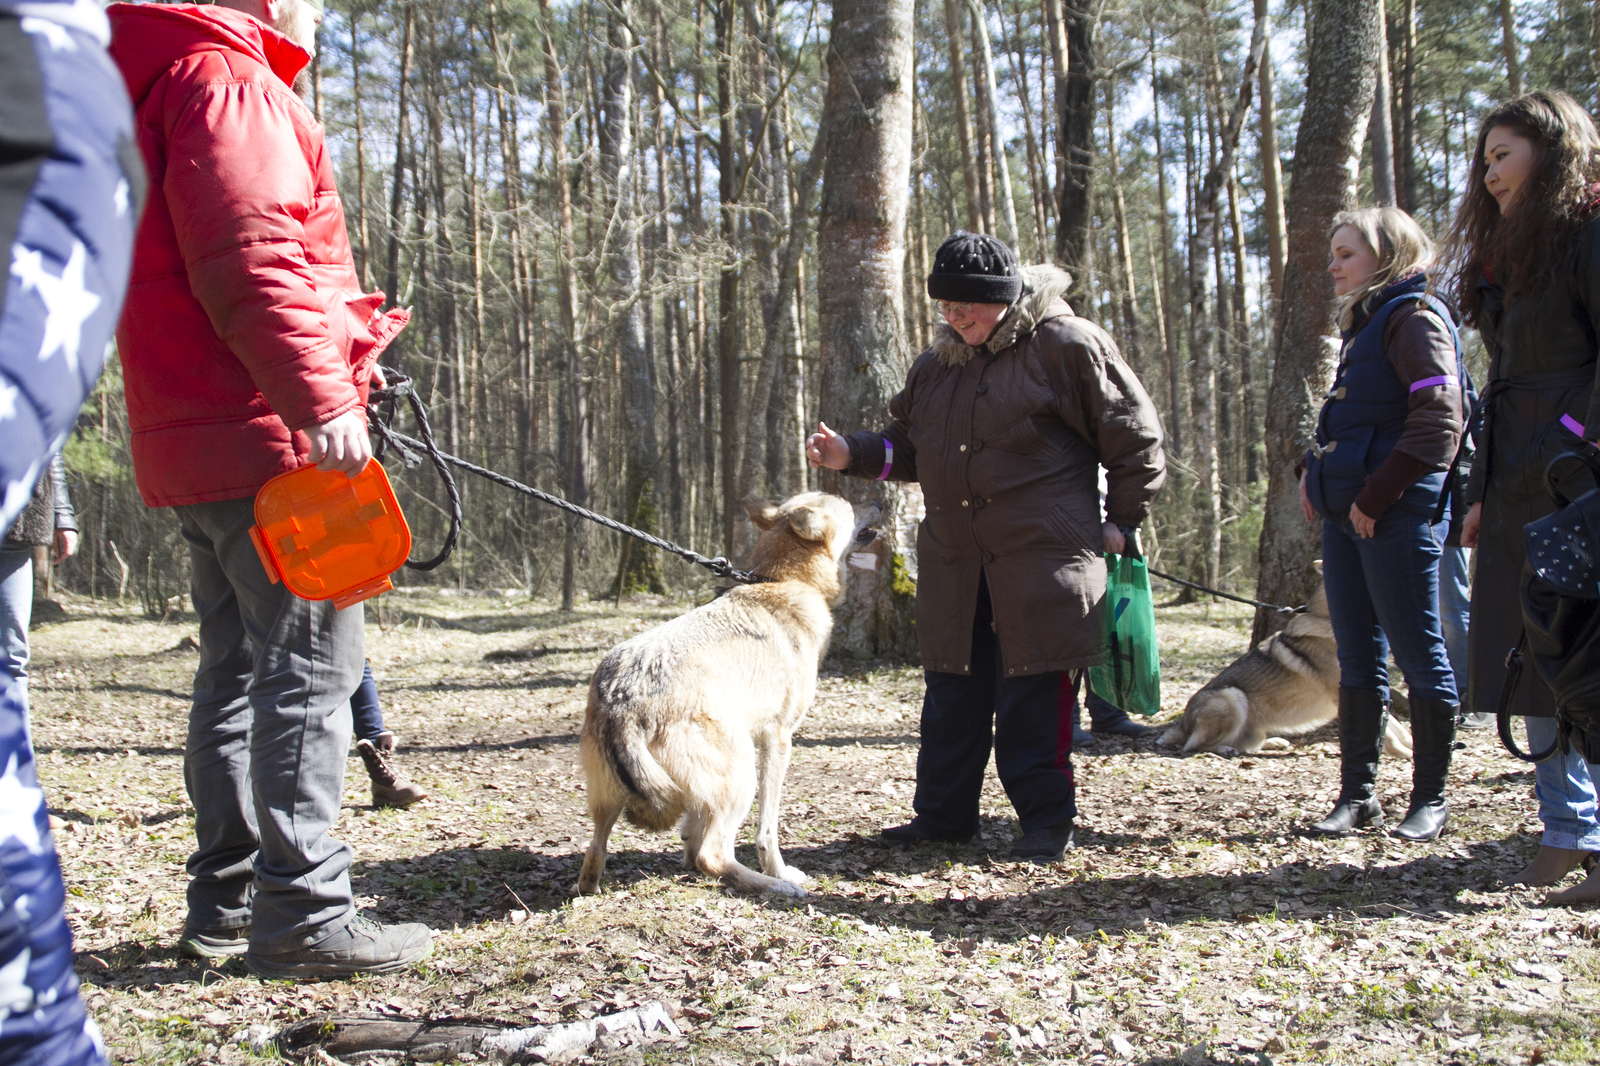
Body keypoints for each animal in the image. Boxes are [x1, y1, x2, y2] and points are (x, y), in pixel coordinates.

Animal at [579, 492, 883, 889]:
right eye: (849, 505)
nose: (879, 501)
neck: (783, 580)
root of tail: (622, 698)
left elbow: (692, 827)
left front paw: (686, 859)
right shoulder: (778, 739)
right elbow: (767, 829)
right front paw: (779, 871)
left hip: (609, 801)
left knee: (594, 853)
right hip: (743, 773)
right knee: (715, 854)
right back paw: (777, 887)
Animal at [1164, 576, 1414, 758]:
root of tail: (1182, 725)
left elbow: (1399, 728)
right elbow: (1389, 733)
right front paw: (1404, 754)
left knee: (1248, 744)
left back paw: (1275, 742)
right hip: (1232, 696)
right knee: (1194, 746)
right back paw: (1226, 750)